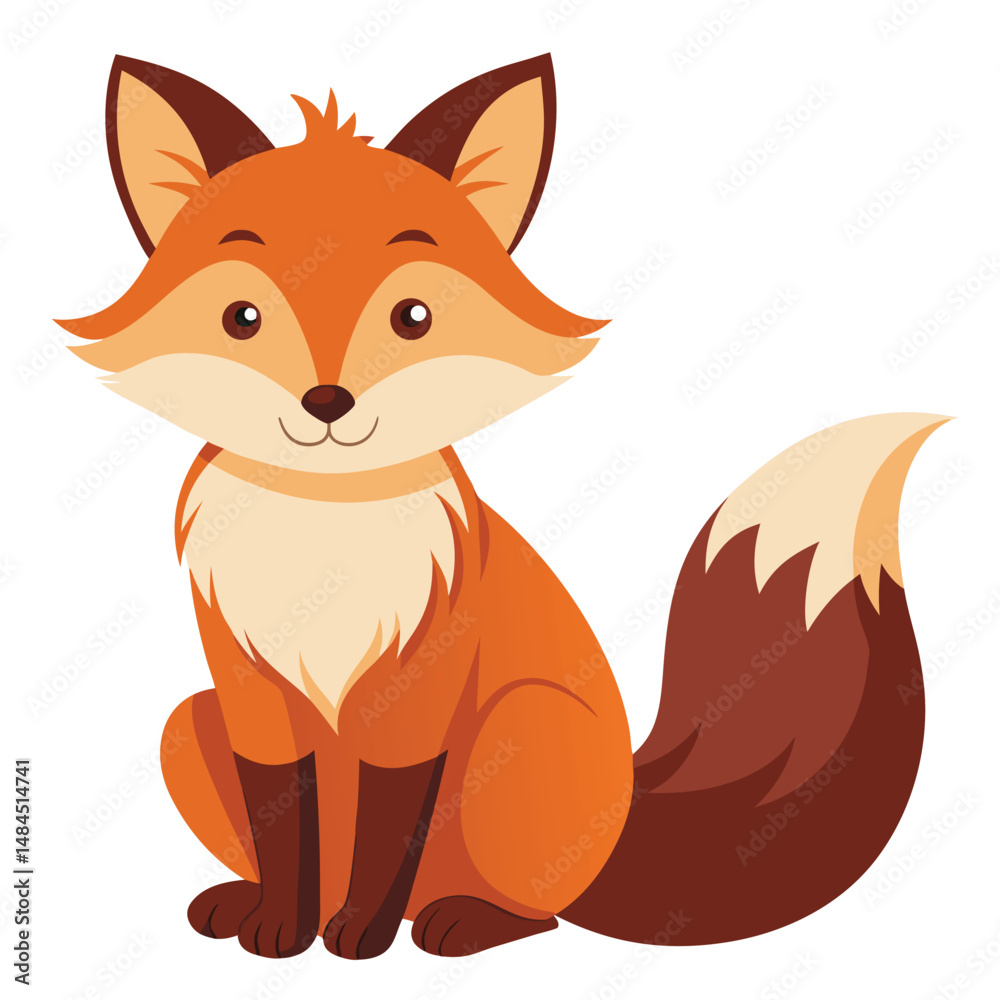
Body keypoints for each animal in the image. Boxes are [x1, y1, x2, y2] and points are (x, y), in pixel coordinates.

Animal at [59, 53, 946, 960]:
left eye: (413, 316)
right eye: (242, 317)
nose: (327, 402)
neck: (326, 534)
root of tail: (625, 826)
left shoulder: (418, 691)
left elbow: (389, 823)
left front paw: (357, 935)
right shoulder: (247, 691)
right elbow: (283, 823)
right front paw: (281, 924)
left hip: (520, 724)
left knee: (538, 912)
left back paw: (461, 921)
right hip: (184, 724)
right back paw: (251, 904)